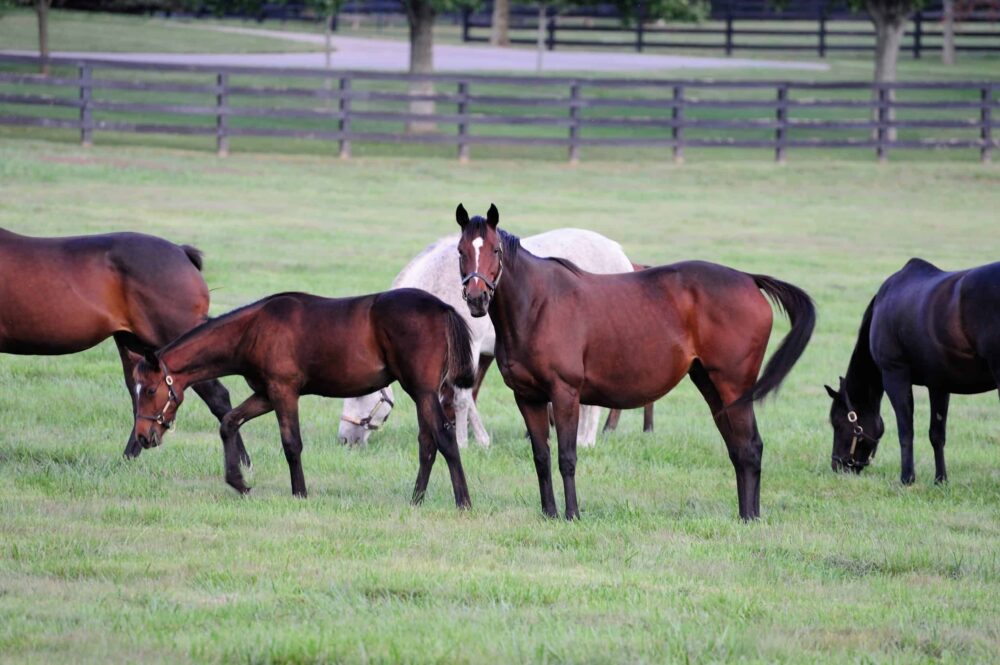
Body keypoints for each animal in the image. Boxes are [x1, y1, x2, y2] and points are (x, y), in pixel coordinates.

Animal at [131, 289, 475, 507]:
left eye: (149, 390)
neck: (254, 329)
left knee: (443, 436)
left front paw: (300, 493)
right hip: (422, 394)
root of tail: (442, 308)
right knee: (427, 443)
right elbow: (229, 422)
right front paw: (238, 482)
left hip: (423, 392)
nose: (144, 436)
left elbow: (291, 443)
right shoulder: (265, 394)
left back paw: (463, 501)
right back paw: (416, 500)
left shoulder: (284, 392)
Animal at [339, 229, 636, 449]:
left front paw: (464, 442)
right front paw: (478, 438)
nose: (344, 439)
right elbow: (464, 397)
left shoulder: (468, 350)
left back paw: (586, 440)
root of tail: (620, 253)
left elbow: (461, 398)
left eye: (360, 394)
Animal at [455, 204, 816, 521]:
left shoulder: (565, 394)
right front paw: (549, 513)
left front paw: (571, 515)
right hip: (711, 386)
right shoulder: (528, 397)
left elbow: (567, 457)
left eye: (495, 251)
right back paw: (745, 515)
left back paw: (751, 518)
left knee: (751, 447)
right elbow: (541, 458)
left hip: (733, 386)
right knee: (738, 448)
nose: (476, 298)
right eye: (461, 251)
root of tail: (748, 278)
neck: (539, 304)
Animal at [825, 258, 1000, 484]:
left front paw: (906, 478)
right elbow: (937, 434)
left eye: (838, 423)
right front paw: (940, 480)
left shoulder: (895, 376)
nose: (837, 465)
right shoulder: (939, 385)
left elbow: (905, 430)